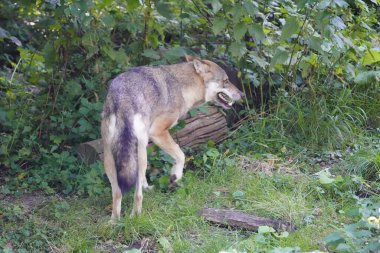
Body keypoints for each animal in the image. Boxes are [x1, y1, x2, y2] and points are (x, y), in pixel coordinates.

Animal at [101, 55, 243, 219]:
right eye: (226, 80)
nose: (242, 94)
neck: (182, 87)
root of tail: (122, 97)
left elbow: (143, 178)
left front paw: (148, 186)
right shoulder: (158, 132)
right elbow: (181, 155)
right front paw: (175, 176)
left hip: (112, 157)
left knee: (117, 193)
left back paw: (114, 221)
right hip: (140, 153)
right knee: (137, 195)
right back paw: (135, 217)